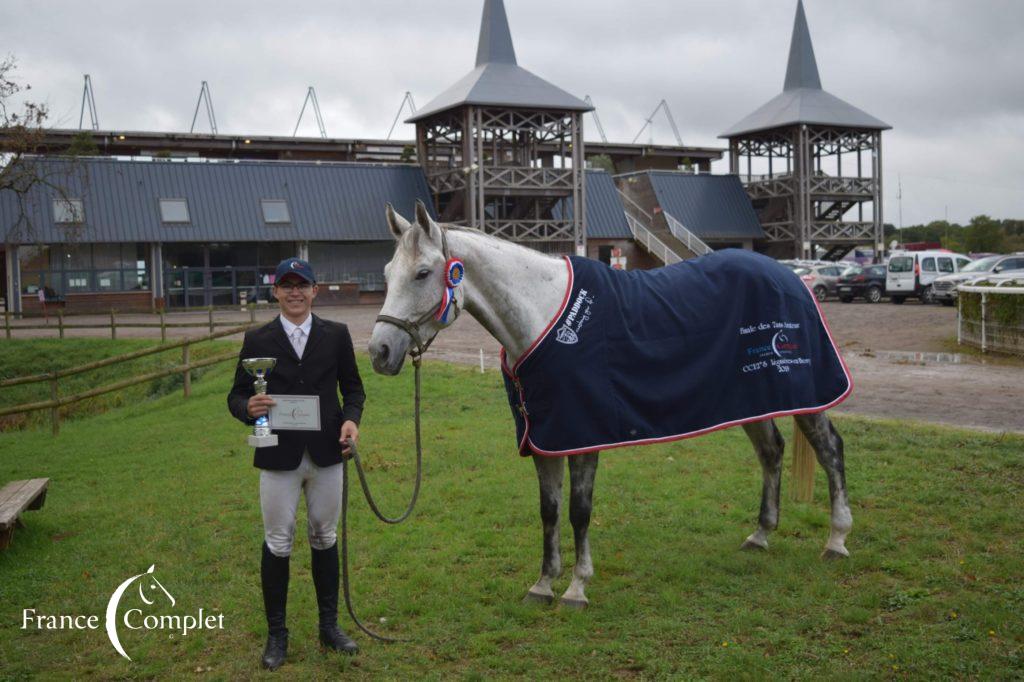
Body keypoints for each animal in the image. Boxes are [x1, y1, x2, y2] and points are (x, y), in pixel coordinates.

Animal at [366, 200, 847, 606]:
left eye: (423, 273)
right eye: (387, 273)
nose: (379, 351)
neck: (543, 316)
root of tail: (789, 276)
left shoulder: (582, 434)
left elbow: (579, 512)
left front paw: (577, 588)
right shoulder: (545, 437)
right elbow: (549, 511)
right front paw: (543, 583)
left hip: (805, 395)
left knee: (830, 451)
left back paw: (836, 540)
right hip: (750, 398)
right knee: (771, 452)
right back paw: (761, 535)